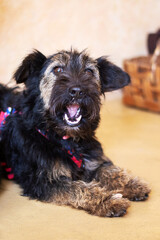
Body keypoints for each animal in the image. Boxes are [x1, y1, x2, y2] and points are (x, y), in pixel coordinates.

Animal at [0, 49, 150, 217]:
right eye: (58, 69)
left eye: (89, 71)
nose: (77, 91)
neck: (63, 138)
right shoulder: (43, 181)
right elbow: (80, 188)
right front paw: (109, 201)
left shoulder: (93, 160)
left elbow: (110, 171)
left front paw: (133, 184)